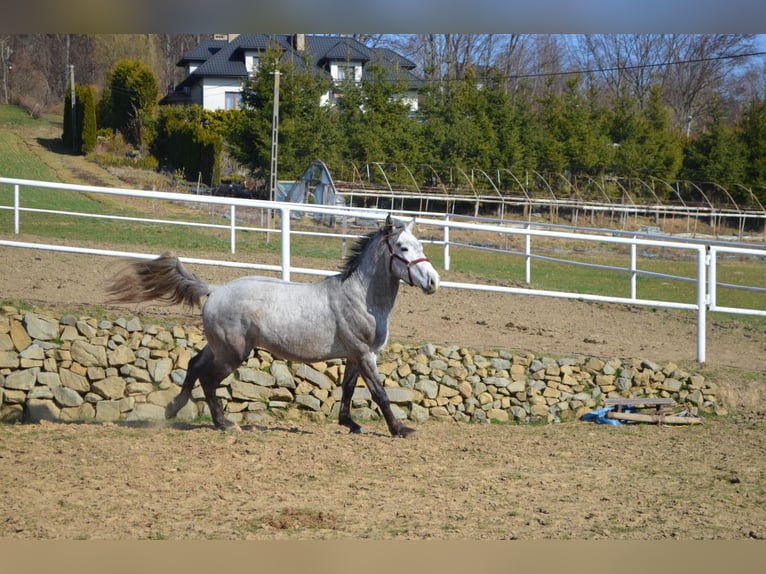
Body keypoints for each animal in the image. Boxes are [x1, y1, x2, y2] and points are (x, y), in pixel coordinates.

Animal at [107, 215, 440, 437]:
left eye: (420, 245)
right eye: (403, 247)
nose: (434, 281)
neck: (359, 297)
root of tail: (214, 290)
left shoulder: (354, 355)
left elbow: (347, 389)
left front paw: (350, 424)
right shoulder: (363, 353)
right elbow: (378, 392)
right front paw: (400, 429)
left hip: (219, 347)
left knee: (193, 364)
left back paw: (174, 408)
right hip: (233, 353)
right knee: (208, 379)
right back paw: (224, 423)